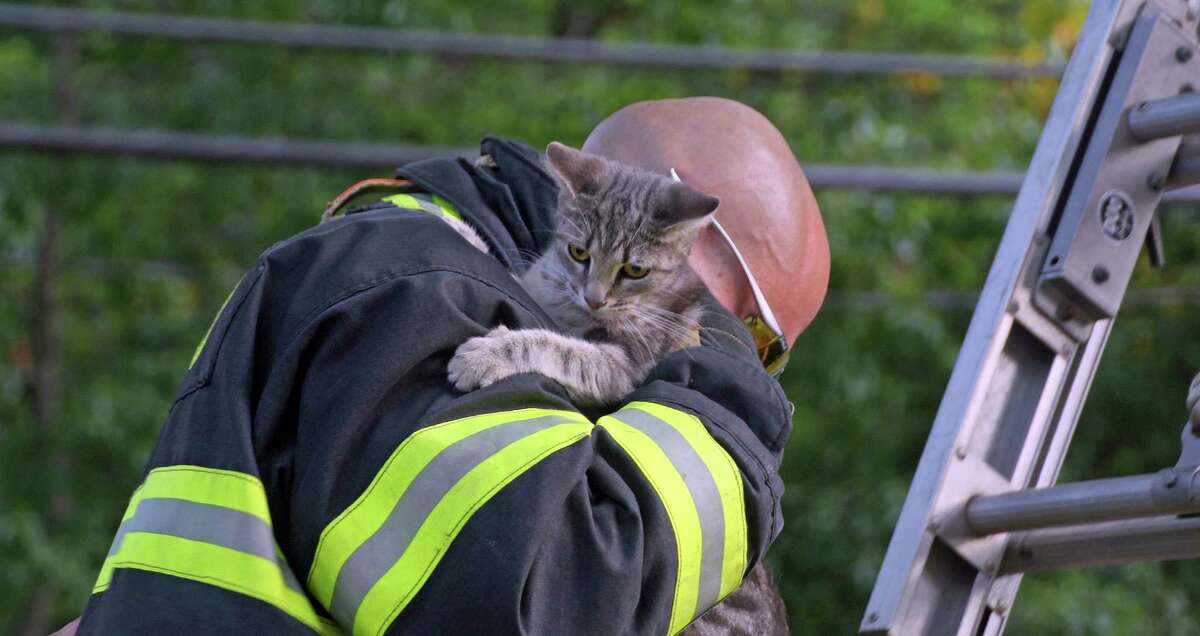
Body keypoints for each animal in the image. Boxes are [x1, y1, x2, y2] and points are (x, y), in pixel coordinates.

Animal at [446, 141, 715, 403]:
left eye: (636, 270)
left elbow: (562, 350)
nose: (594, 300)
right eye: (578, 253)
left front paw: (487, 354)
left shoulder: (623, 366)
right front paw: (458, 228)